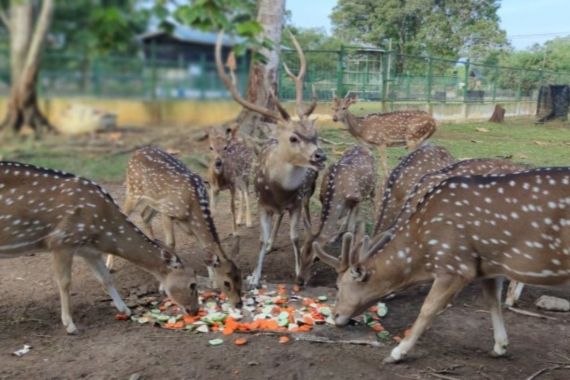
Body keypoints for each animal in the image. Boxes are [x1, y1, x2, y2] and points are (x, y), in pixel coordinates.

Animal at [0, 162, 200, 334]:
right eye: (192, 284)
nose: (195, 310)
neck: (102, 232)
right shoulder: (61, 241)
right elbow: (64, 282)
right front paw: (70, 325)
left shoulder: (88, 250)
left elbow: (106, 278)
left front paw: (125, 310)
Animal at [106, 145, 242, 308]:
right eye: (227, 283)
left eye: (240, 277)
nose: (239, 303)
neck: (193, 207)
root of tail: (136, 153)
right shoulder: (168, 213)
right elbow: (171, 243)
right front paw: (163, 285)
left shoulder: (187, 222)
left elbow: (205, 249)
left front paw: (212, 281)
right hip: (133, 191)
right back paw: (109, 265)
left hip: (154, 201)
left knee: (144, 215)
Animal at [215, 31, 326, 288]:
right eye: (293, 137)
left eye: (314, 134)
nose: (320, 155)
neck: (280, 190)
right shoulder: (262, 202)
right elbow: (261, 239)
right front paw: (254, 276)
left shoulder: (296, 201)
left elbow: (295, 237)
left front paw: (298, 273)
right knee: (277, 219)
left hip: (307, 195)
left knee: (303, 220)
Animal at [296, 145, 374, 284]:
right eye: (301, 250)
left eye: (316, 259)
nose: (300, 280)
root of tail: (363, 146)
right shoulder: (323, 197)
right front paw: (335, 237)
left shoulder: (356, 199)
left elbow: (351, 228)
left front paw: (345, 254)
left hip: (372, 186)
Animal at [312, 168, 564, 364]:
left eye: (340, 285)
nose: (335, 315)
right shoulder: (487, 266)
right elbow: (493, 303)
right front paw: (500, 347)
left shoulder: (454, 265)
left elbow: (427, 309)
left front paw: (397, 353)